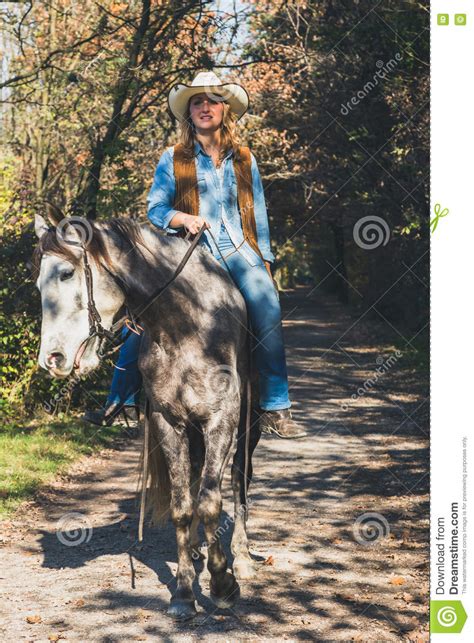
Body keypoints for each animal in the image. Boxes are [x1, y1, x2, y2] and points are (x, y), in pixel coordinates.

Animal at [33, 214, 262, 620]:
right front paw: (184, 591)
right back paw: (200, 549)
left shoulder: (221, 420)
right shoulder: (169, 423)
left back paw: (244, 557)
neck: (185, 325)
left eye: (65, 273)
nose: (52, 359)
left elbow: (211, 501)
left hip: (247, 428)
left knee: (239, 480)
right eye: (37, 283)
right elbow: (183, 507)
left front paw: (223, 584)